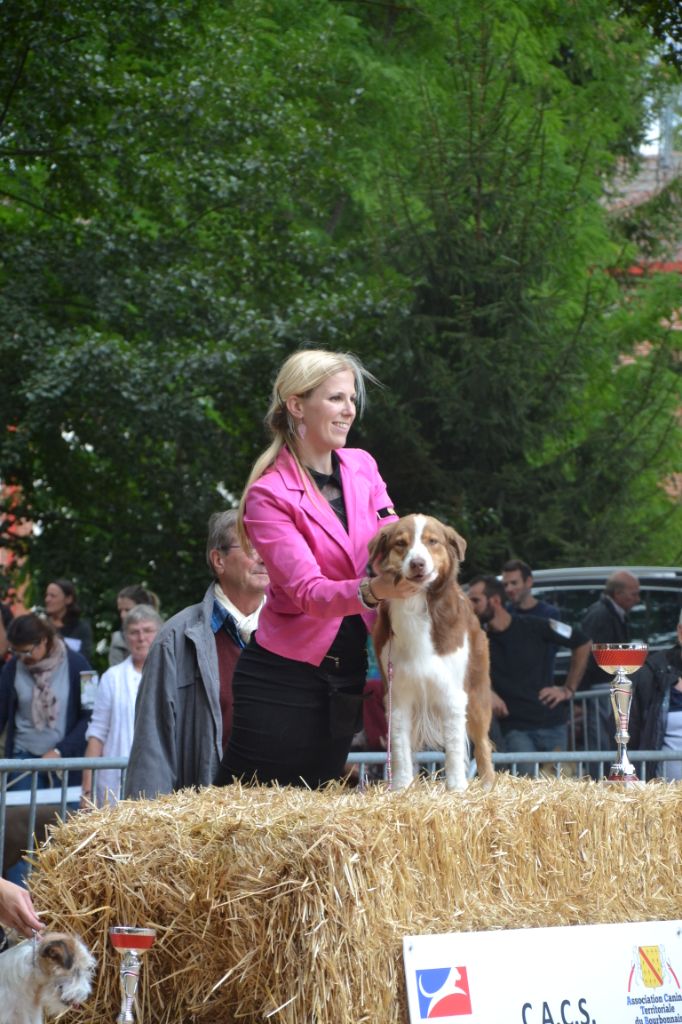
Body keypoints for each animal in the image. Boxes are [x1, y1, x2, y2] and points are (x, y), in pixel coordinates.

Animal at [368, 512, 491, 790]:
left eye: (432, 541)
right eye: (401, 543)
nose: (417, 564)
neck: (418, 602)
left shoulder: (453, 692)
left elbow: (455, 748)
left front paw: (457, 788)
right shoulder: (397, 693)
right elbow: (400, 746)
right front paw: (401, 787)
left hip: (477, 694)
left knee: (483, 744)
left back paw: (489, 785)